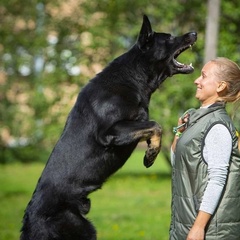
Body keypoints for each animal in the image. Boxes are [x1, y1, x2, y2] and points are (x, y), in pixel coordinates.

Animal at [20, 15, 197, 240]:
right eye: (169, 38)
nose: (194, 32)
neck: (133, 76)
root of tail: (29, 219)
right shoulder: (110, 132)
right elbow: (155, 125)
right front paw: (150, 155)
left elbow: (151, 126)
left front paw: (150, 151)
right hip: (83, 229)